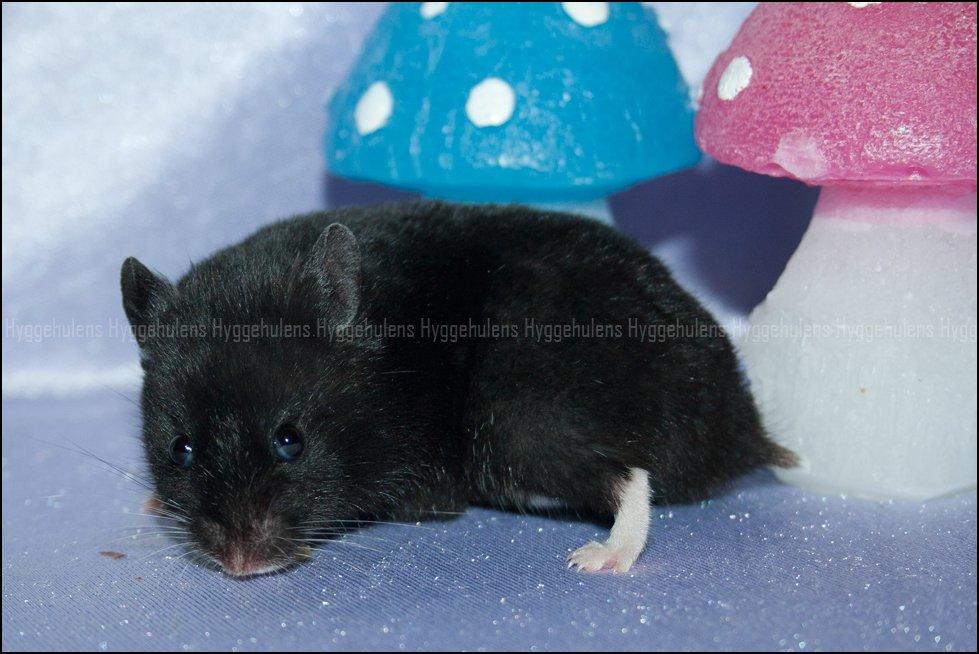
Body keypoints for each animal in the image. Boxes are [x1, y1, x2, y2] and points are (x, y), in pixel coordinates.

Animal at [121, 201, 794, 576]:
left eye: (292, 441)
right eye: (180, 450)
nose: (239, 569)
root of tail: (744, 428)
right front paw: (153, 503)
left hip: (523, 419)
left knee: (631, 473)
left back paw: (602, 558)